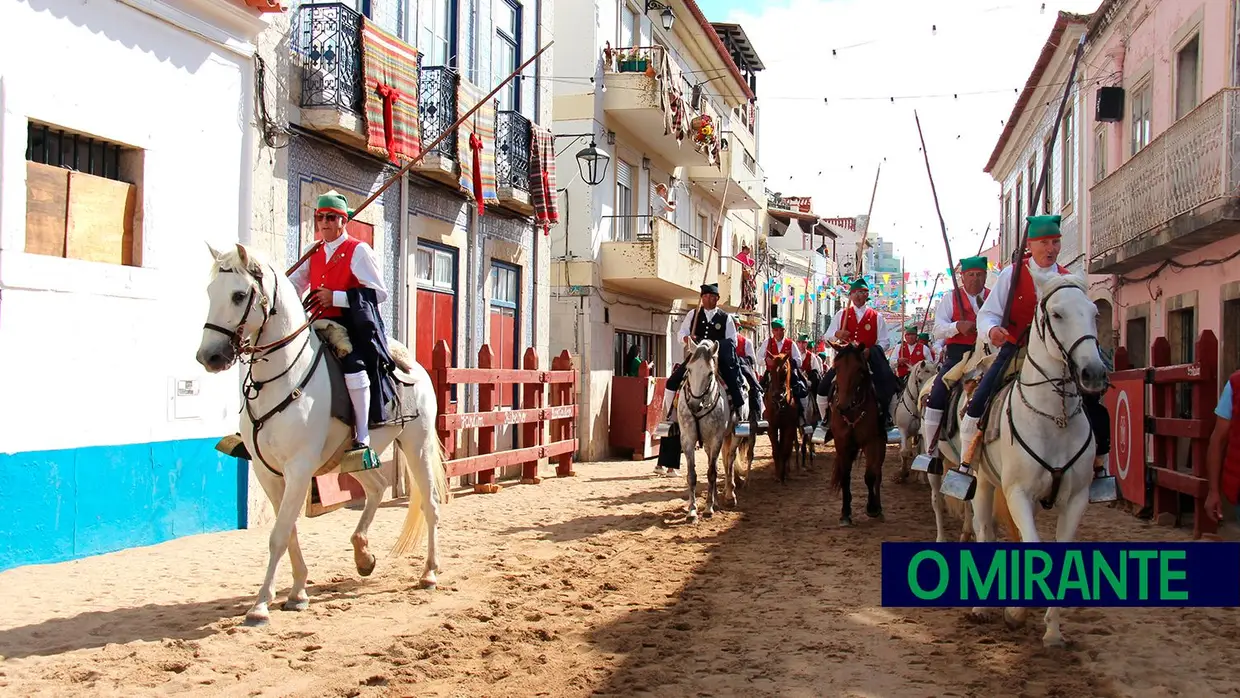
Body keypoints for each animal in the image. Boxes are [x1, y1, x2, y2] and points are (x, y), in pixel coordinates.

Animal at [200, 244, 453, 627]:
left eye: (239, 295)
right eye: (210, 292)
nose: (209, 356)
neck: (279, 379)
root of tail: (415, 367)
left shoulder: (299, 469)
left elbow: (278, 535)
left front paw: (261, 605)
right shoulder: (266, 471)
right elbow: (288, 530)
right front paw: (297, 592)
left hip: (417, 446)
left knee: (431, 505)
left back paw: (430, 573)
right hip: (353, 457)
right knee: (377, 487)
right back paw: (363, 555)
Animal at [674, 334, 739, 520]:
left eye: (710, 373)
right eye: (689, 370)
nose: (694, 405)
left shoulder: (717, 438)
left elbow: (711, 473)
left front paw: (708, 508)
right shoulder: (688, 439)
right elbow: (692, 475)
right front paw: (692, 510)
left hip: (733, 435)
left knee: (729, 460)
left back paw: (729, 495)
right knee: (715, 464)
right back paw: (716, 500)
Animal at [758, 352, 798, 483]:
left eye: (784, 370)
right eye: (770, 370)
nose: (776, 396)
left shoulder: (790, 427)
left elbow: (785, 450)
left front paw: (783, 475)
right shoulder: (772, 427)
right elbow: (776, 451)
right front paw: (777, 475)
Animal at [828, 342, 887, 528]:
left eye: (859, 369)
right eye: (836, 367)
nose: (842, 406)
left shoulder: (872, 442)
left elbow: (870, 475)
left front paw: (872, 507)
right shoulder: (842, 444)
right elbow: (845, 477)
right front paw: (845, 513)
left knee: (877, 473)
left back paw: (879, 507)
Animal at [957, 273, 1106, 649]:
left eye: (1094, 313)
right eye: (1056, 314)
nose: (1094, 373)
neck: (1055, 418)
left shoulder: (1076, 498)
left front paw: (1052, 630)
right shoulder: (1018, 493)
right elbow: (1032, 545)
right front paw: (1016, 611)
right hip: (983, 483)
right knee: (984, 531)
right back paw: (982, 607)